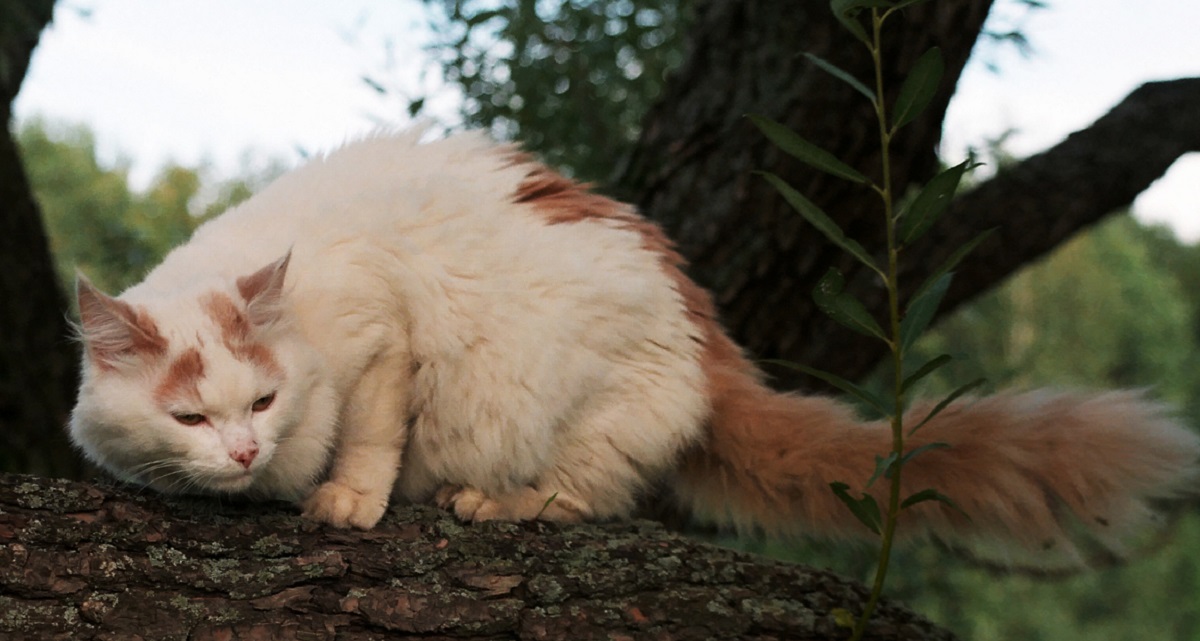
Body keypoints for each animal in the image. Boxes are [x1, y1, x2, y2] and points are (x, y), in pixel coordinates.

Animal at [70, 128, 1200, 571]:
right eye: (190, 415)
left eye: (261, 403)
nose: (244, 452)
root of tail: (706, 334)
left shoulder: (387, 334)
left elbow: (373, 435)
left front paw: (346, 498)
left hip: (579, 404)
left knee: (584, 496)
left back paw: (492, 503)